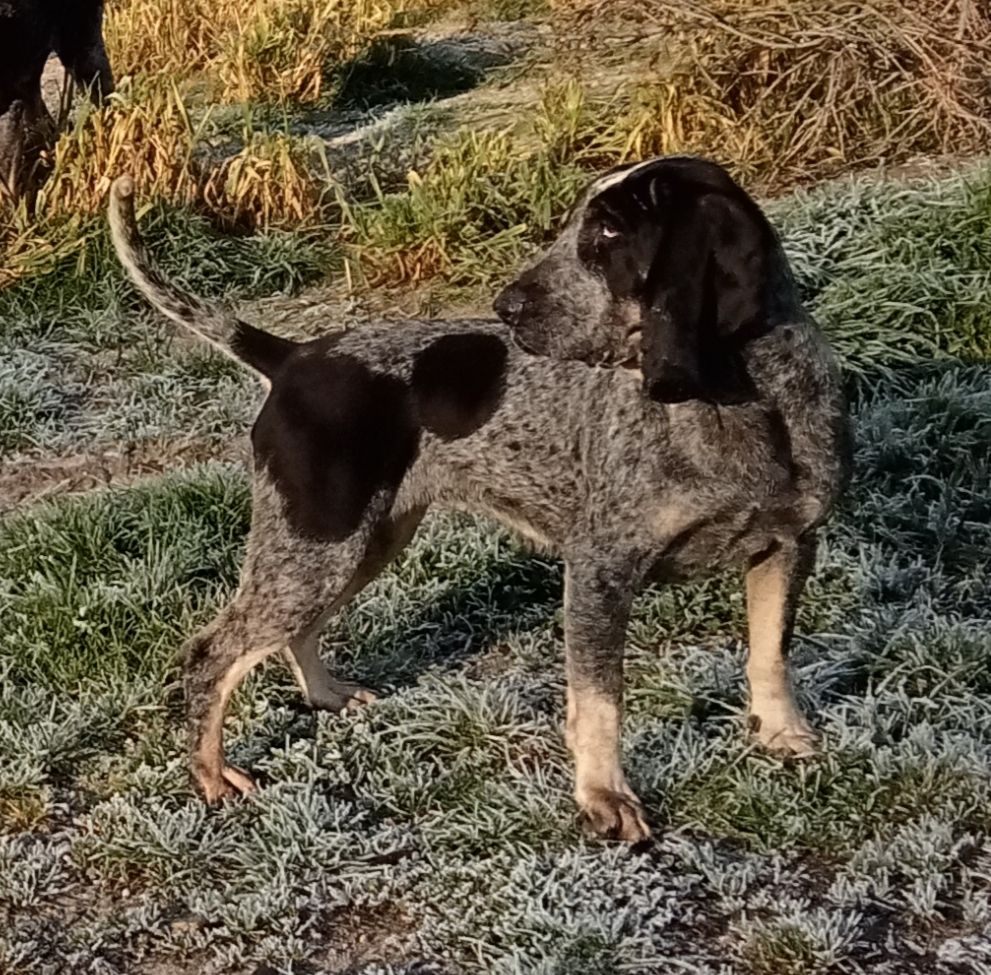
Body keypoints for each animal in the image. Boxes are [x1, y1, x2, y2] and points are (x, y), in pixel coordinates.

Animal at [110, 156, 852, 844]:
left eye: (611, 232)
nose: (507, 307)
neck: (744, 402)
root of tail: (292, 357)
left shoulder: (789, 546)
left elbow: (769, 654)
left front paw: (781, 736)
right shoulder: (600, 570)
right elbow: (599, 702)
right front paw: (603, 798)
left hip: (358, 541)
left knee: (292, 630)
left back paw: (325, 696)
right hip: (318, 542)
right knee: (211, 653)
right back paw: (211, 775)